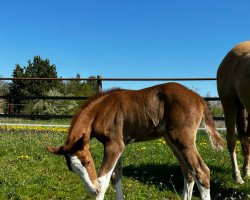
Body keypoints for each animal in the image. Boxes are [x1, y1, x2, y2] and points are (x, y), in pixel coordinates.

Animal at [47, 82, 224, 199]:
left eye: (88, 162)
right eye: (72, 169)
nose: (92, 190)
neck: (100, 111)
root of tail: (199, 98)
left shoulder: (114, 145)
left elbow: (103, 181)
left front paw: (99, 188)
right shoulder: (117, 145)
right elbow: (116, 176)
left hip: (182, 138)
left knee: (201, 171)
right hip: (172, 140)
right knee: (188, 172)